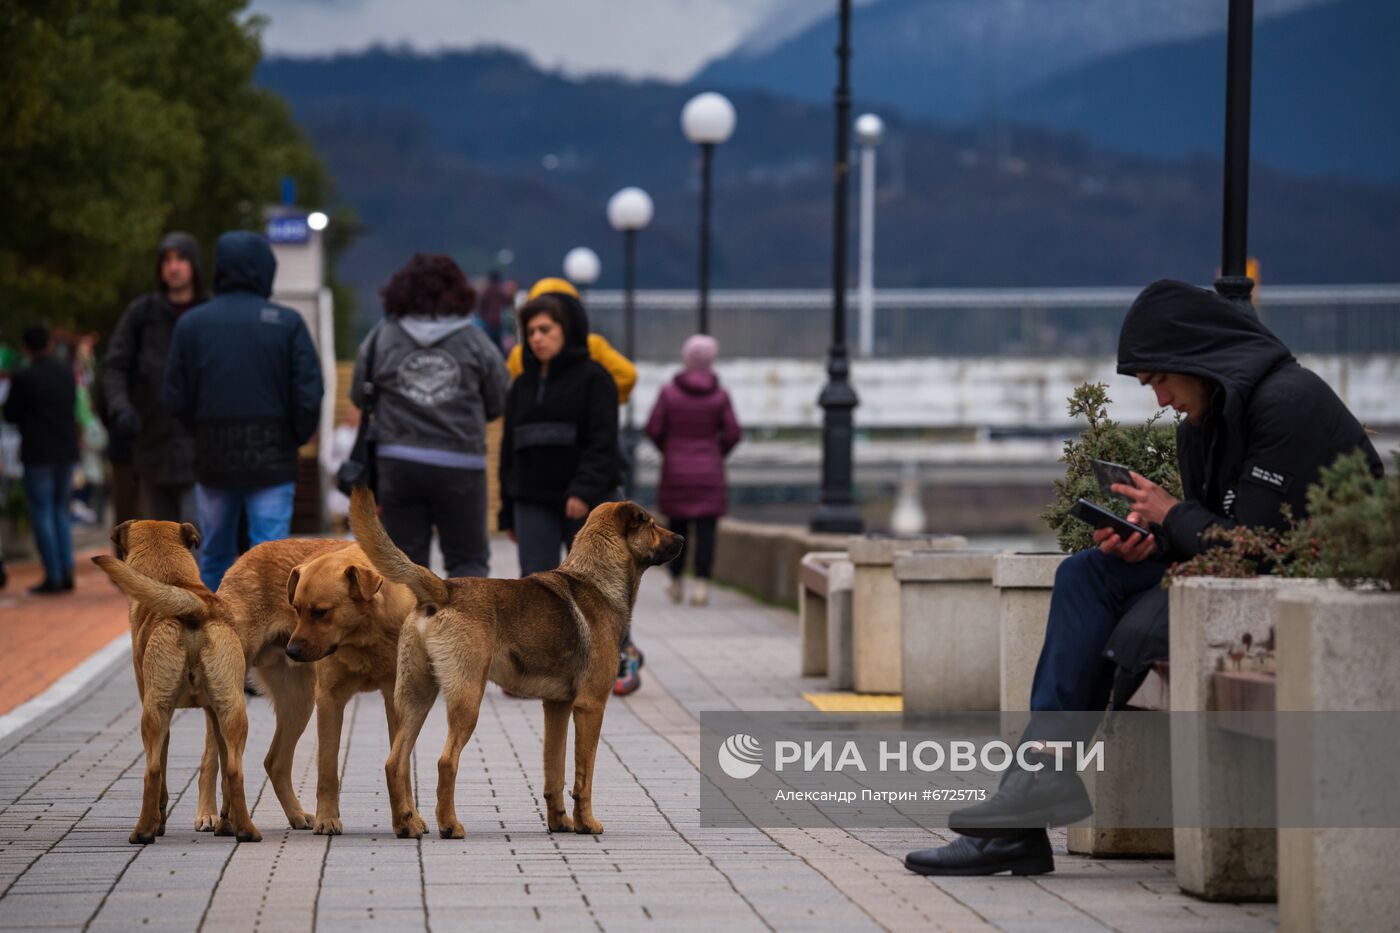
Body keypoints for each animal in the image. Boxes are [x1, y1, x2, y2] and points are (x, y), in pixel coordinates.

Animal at [93, 518, 263, 840]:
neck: (173, 576)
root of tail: (197, 609)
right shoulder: (213, 714)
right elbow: (221, 767)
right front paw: (225, 821)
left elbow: (161, 771)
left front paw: (158, 822)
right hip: (233, 710)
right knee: (234, 770)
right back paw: (245, 829)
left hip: (154, 713)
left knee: (152, 771)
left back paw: (143, 831)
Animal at [344, 481, 683, 840]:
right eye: (651, 525)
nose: (682, 539)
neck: (595, 578)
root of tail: (444, 589)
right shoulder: (590, 707)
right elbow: (583, 776)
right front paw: (586, 824)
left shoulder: (557, 707)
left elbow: (554, 772)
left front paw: (560, 822)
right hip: (466, 700)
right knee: (446, 761)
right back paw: (449, 825)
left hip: (415, 698)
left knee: (395, 762)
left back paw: (407, 824)